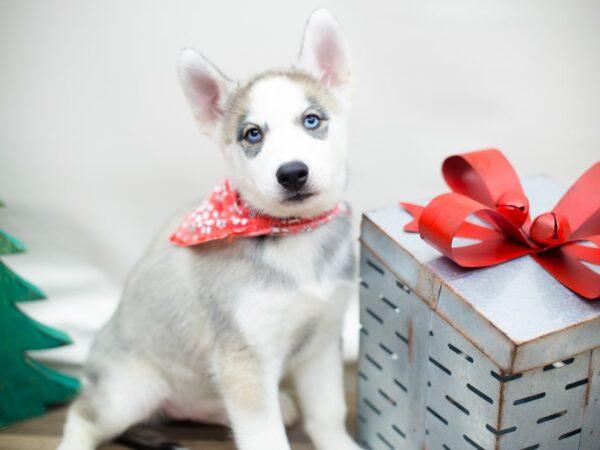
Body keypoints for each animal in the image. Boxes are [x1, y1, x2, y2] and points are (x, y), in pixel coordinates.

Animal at [58, 7, 360, 450]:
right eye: (252, 134)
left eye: (311, 120)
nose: (292, 173)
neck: (292, 237)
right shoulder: (244, 358)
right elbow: (264, 435)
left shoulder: (321, 340)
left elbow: (327, 413)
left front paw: (340, 443)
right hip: (128, 392)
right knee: (82, 415)